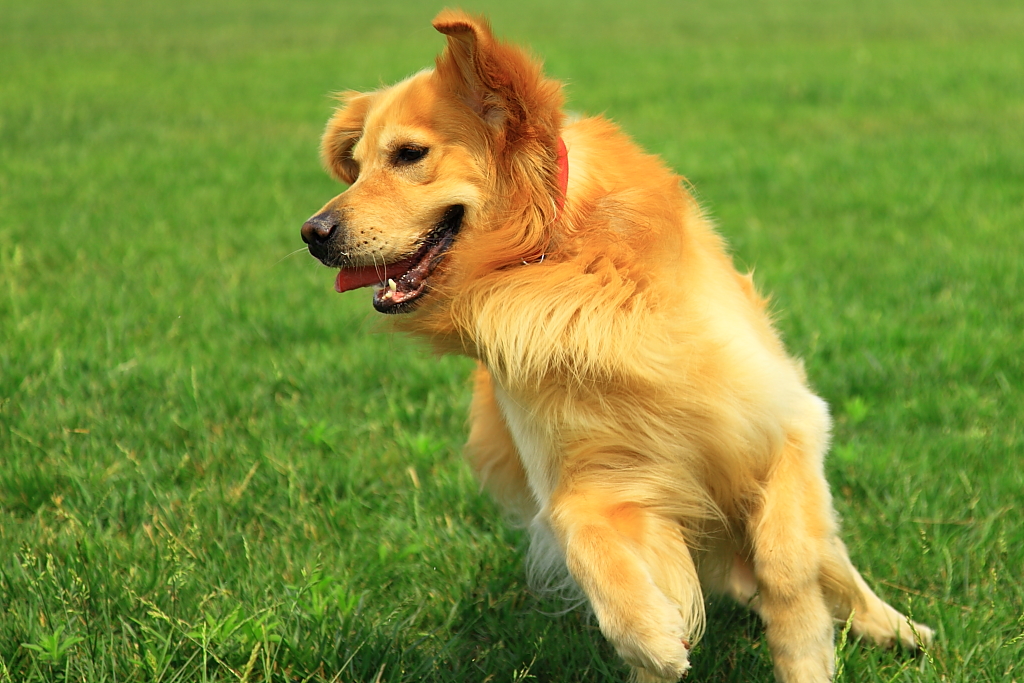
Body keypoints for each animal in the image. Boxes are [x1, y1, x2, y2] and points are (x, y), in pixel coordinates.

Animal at [299, 9, 933, 679]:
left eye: (409, 154)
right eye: (358, 164)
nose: (312, 233)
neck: (563, 268)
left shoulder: (786, 419)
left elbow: (788, 564)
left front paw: (804, 649)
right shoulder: (584, 478)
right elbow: (588, 544)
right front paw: (653, 637)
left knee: (831, 563)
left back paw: (898, 629)